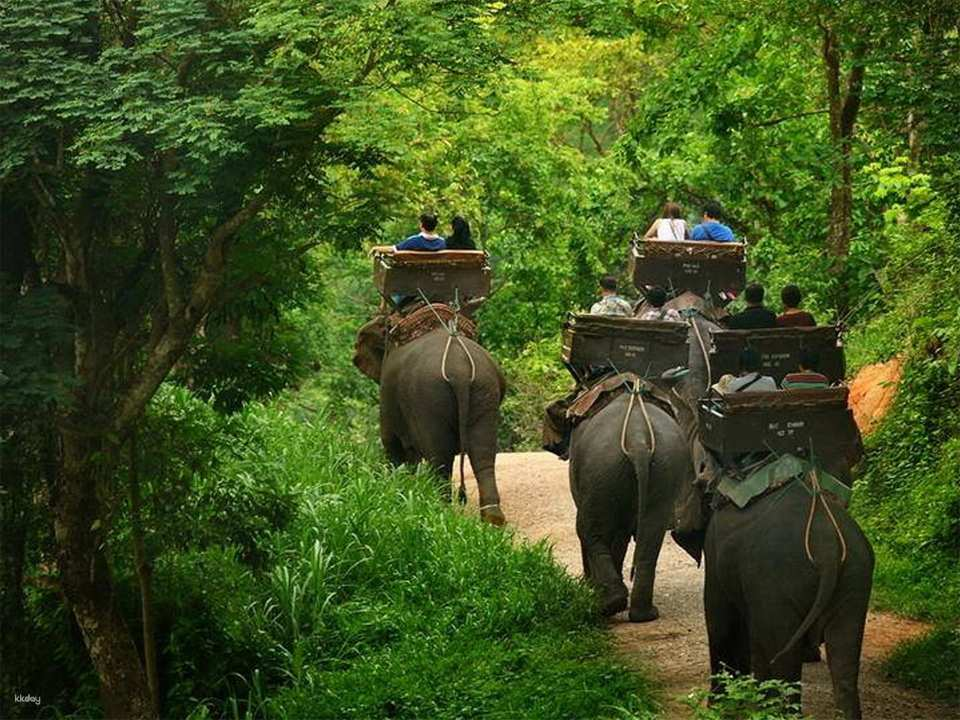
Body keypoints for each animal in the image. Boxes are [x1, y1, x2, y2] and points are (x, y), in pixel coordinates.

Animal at [354, 321, 506, 526]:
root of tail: (460, 371)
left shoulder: (387, 394)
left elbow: (392, 443)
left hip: (429, 398)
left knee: (440, 459)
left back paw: (441, 513)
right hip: (485, 391)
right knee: (483, 454)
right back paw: (493, 519)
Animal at [569, 389, 696, 620]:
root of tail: (638, 440)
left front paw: (590, 588)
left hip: (601, 468)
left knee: (587, 530)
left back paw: (609, 604)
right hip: (666, 467)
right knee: (651, 532)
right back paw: (643, 614)